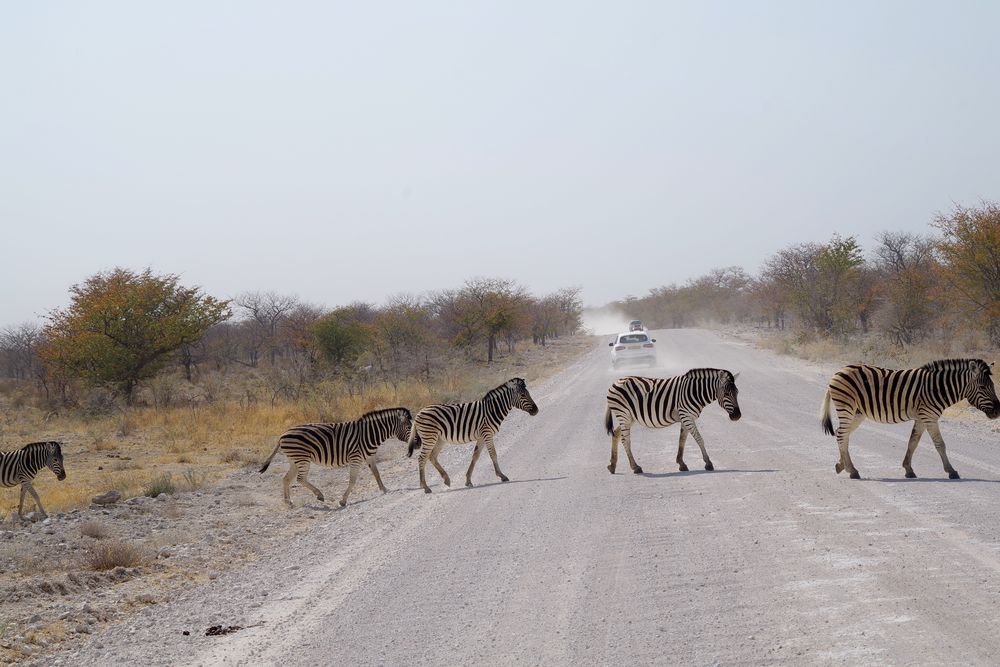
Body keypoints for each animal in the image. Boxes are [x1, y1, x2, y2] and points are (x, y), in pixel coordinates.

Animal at [262, 408, 414, 506]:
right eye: (408, 427)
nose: (417, 442)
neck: (370, 434)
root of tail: (282, 435)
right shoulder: (356, 459)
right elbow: (352, 480)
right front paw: (343, 501)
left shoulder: (370, 456)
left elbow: (376, 473)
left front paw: (385, 490)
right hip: (302, 459)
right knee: (300, 479)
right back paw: (319, 495)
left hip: (294, 460)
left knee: (286, 479)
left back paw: (288, 502)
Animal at [406, 378, 540, 494]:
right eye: (523, 395)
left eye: (527, 393)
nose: (536, 410)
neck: (493, 409)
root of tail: (418, 413)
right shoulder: (487, 434)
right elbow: (493, 454)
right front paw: (502, 476)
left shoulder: (482, 436)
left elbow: (475, 456)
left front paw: (468, 480)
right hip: (430, 437)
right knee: (422, 458)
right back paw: (425, 487)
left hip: (439, 439)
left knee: (432, 456)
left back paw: (446, 479)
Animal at [600, 370, 744, 474]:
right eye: (726, 394)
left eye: (737, 392)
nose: (737, 416)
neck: (695, 392)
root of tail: (615, 382)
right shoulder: (686, 415)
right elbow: (699, 438)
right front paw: (708, 463)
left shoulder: (686, 417)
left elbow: (682, 440)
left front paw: (681, 464)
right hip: (623, 414)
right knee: (625, 440)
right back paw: (635, 467)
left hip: (629, 417)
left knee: (616, 434)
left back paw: (612, 466)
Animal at [820, 360, 1000, 480]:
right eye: (983, 387)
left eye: (992, 386)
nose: (998, 412)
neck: (938, 388)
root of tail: (838, 371)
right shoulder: (929, 416)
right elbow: (940, 444)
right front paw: (952, 471)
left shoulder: (922, 418)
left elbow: (912, 442)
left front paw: (908, 469)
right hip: (847, 407)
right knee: (842, 435)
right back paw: (852, 471)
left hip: (857, 412)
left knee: (842, 434)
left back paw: (842, 465)